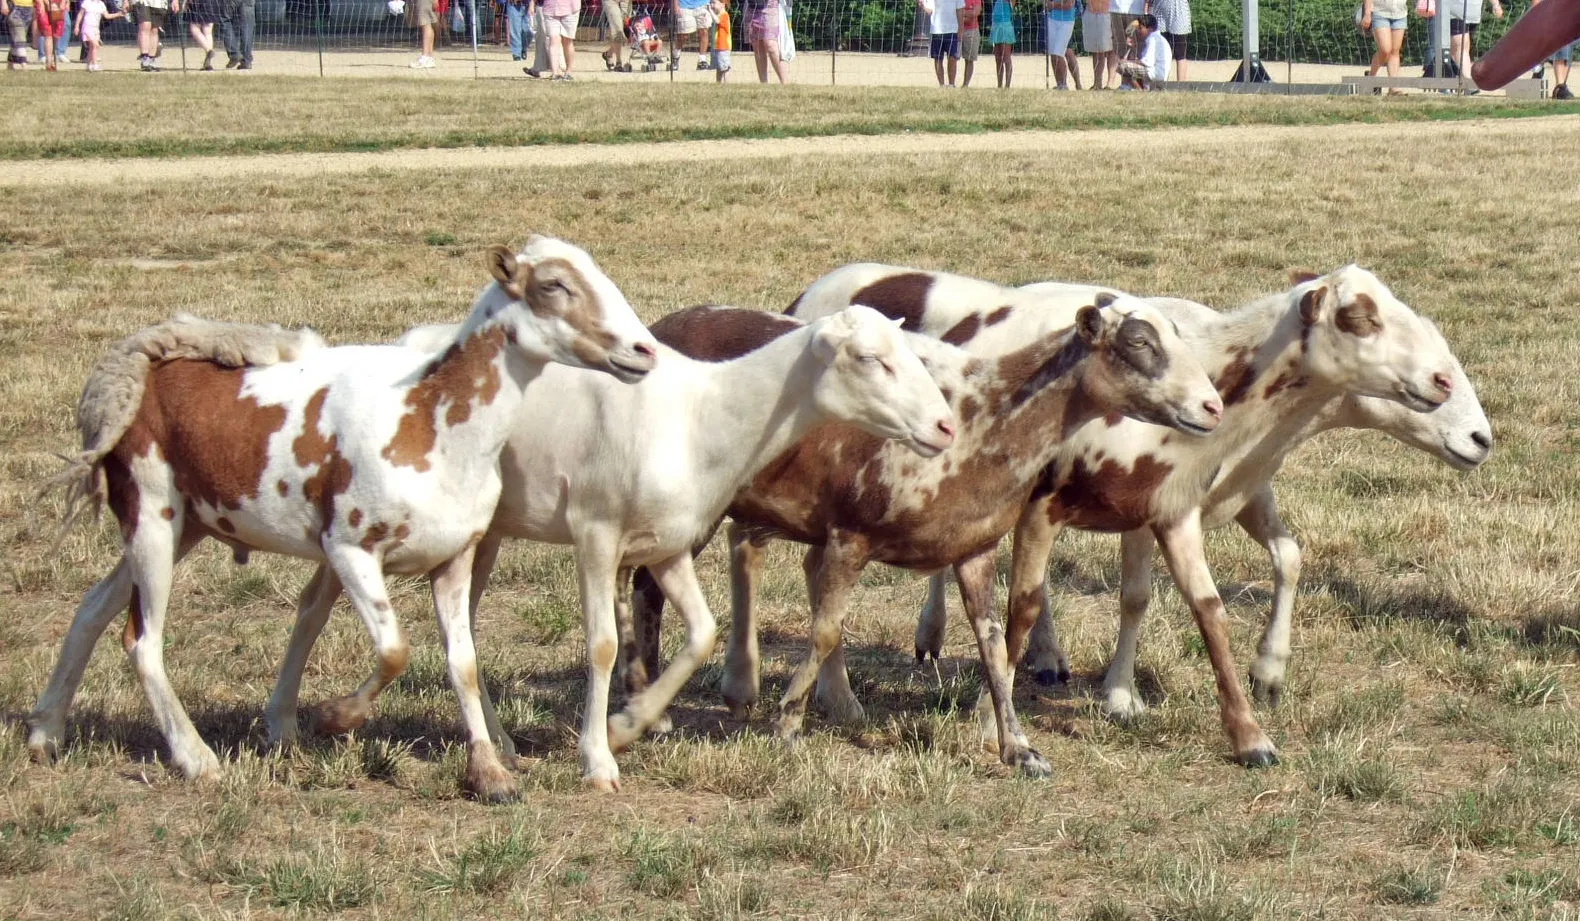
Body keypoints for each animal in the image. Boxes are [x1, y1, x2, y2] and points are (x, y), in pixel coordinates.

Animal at [27, 236, 658, 802]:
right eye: (553, 285)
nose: (643, 350)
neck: (430, 421)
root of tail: (133, 367)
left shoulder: (454, 557)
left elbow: (464, 663)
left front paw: (489, 774)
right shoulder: (350, 549)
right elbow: (395, 649)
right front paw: (335, 717)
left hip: (185, 523)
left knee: (91, 608)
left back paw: (45, 734)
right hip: (151, 513)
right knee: (141, 639)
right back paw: (196, 759)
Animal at [264, 303, 960, 792]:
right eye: (870, 358)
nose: (945, 426)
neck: (704, 415)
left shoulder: (667, 543)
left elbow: (701, 633)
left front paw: (631, 724)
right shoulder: (596, 532)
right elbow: (601, 645)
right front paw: (599, 756)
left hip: (476, 531)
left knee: (356, 610)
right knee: (336, 607)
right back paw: (308, 722)